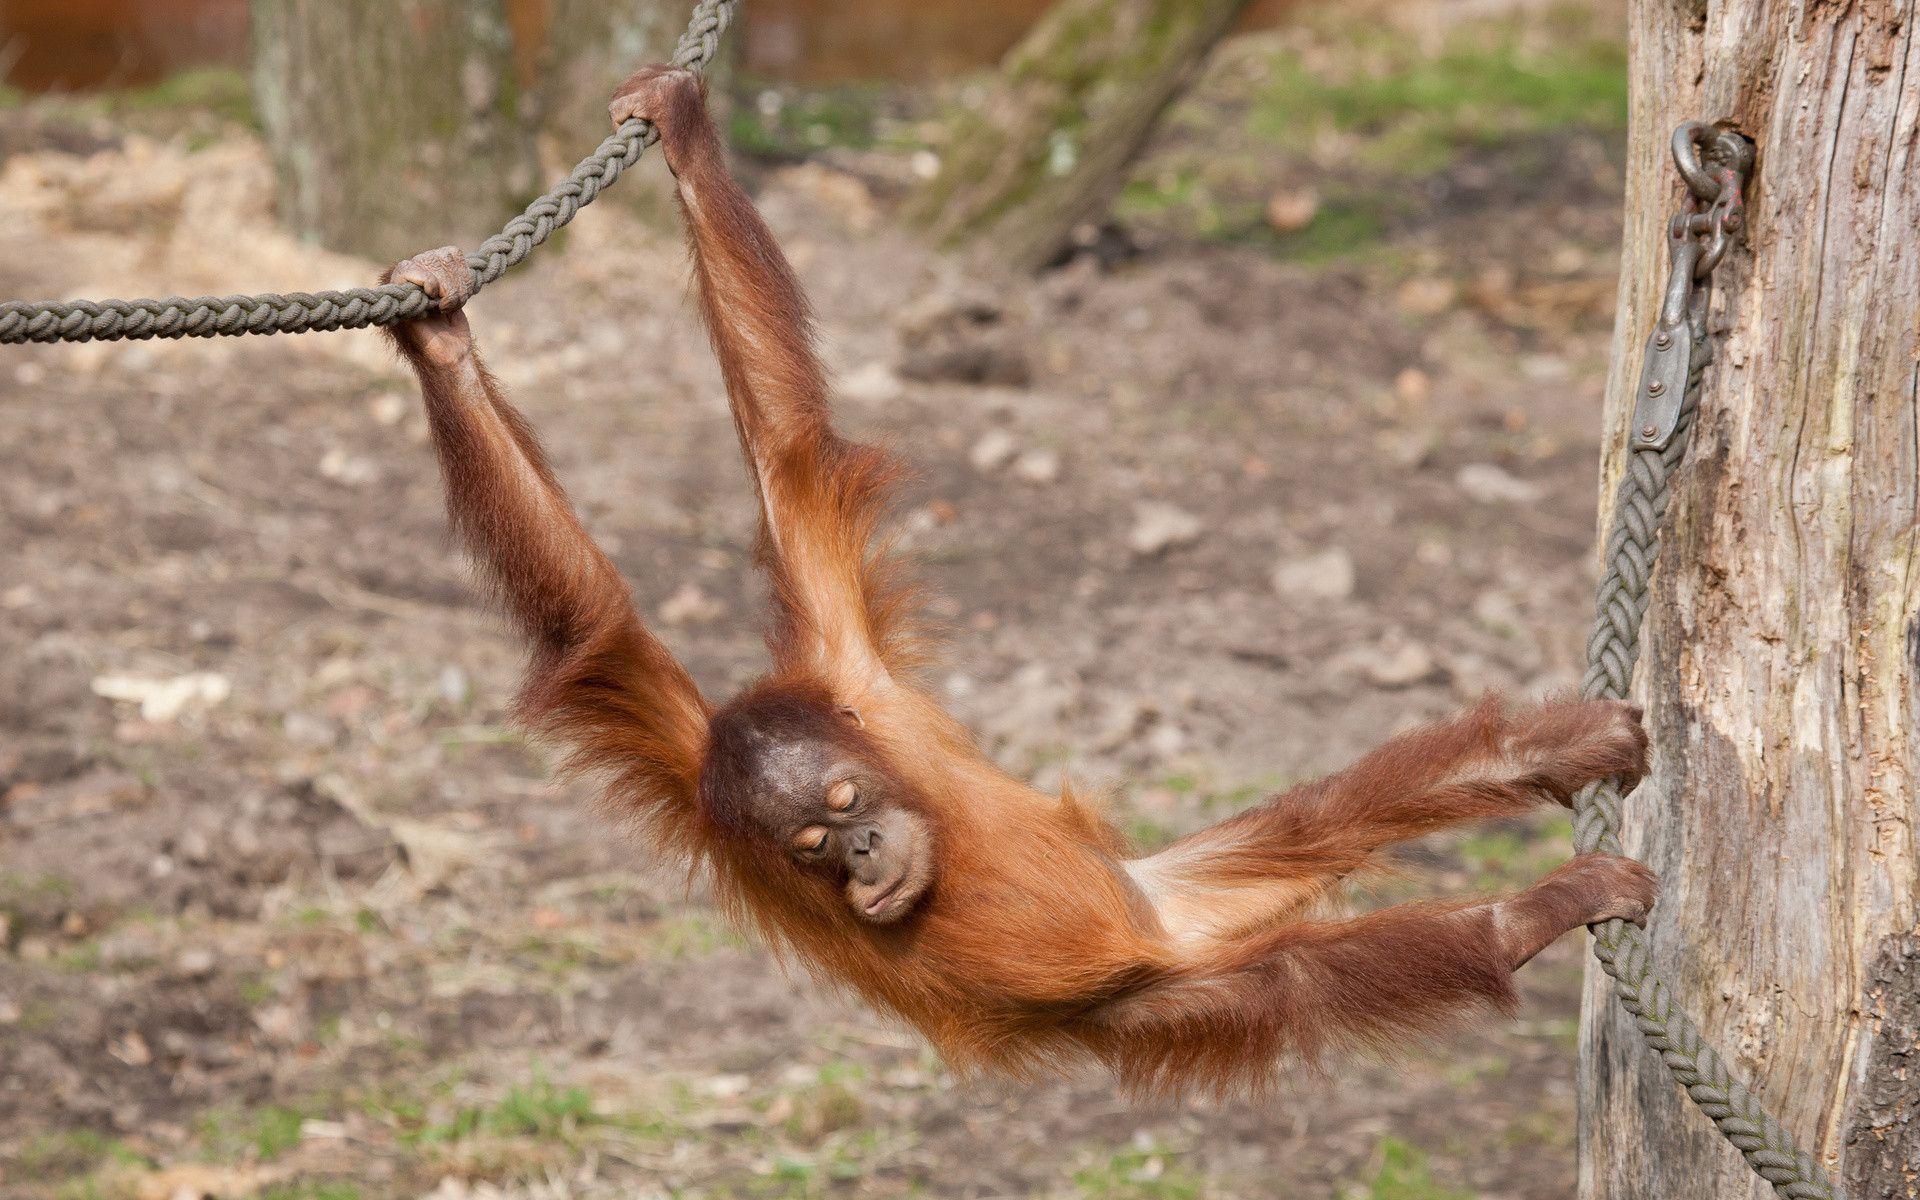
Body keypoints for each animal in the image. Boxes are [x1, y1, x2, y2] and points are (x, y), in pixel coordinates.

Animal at [379, 64, 1656, 1095]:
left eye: (844, 801)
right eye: (807, 849)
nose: (860, 858)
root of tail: (1167, 930)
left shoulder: (844, 666)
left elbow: (774, 465)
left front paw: (682, 136)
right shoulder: (687, 764)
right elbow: (593, 626)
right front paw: (440, 343)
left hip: (1160, 892)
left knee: (1324, 833)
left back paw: (1547, 779)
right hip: (1168, 975)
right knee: (1302, 949)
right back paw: (1526, 897)